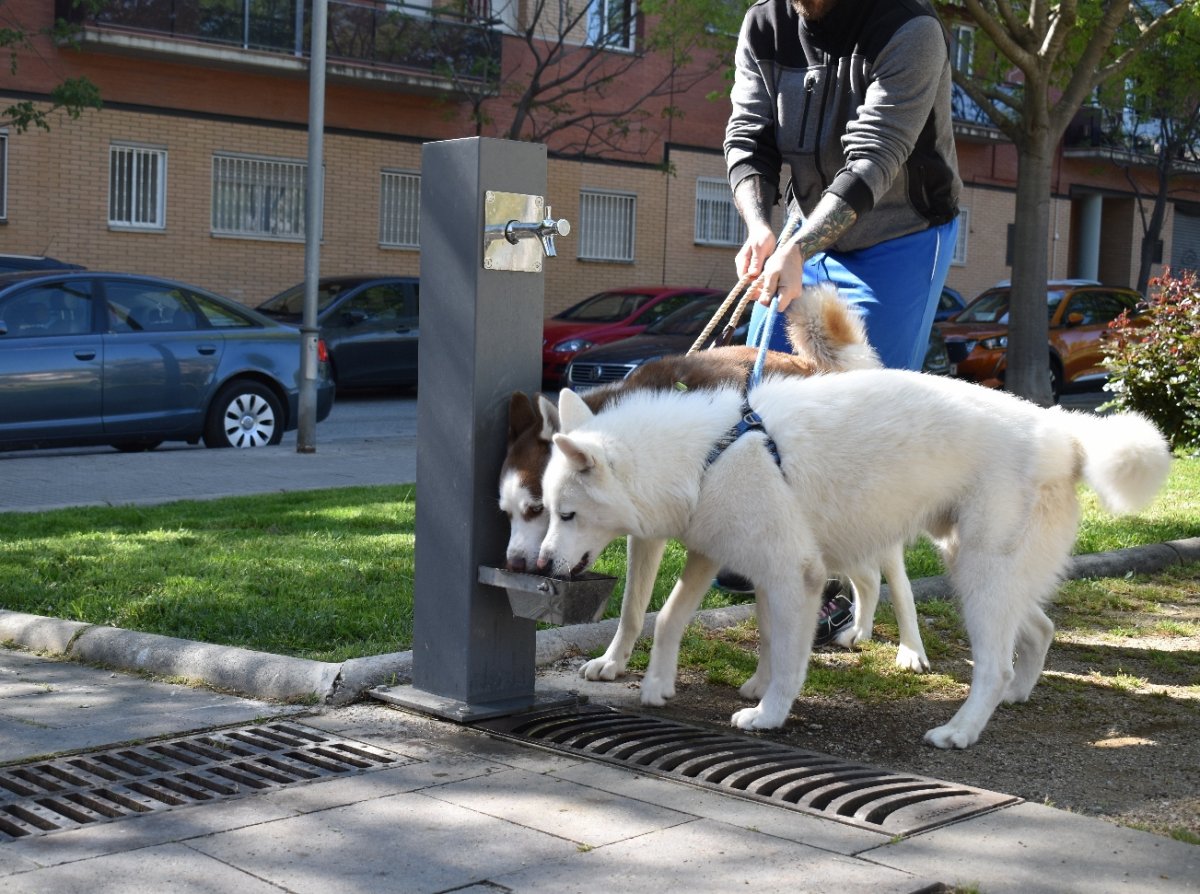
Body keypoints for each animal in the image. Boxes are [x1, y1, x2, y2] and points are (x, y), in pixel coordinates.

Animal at [537, 369, 1171, 744]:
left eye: (565, 515)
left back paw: (961, 730)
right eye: (545, 510)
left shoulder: (793, 575)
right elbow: (680, 619)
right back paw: (1016, 695)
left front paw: (769, 712)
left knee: (992, 663)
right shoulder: (735, 562)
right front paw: (670, 684)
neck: (710, 454)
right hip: (986, 571)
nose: (540, 566)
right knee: (1037, 630)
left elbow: (788, 657)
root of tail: (1064, 431)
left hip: (977, 577)